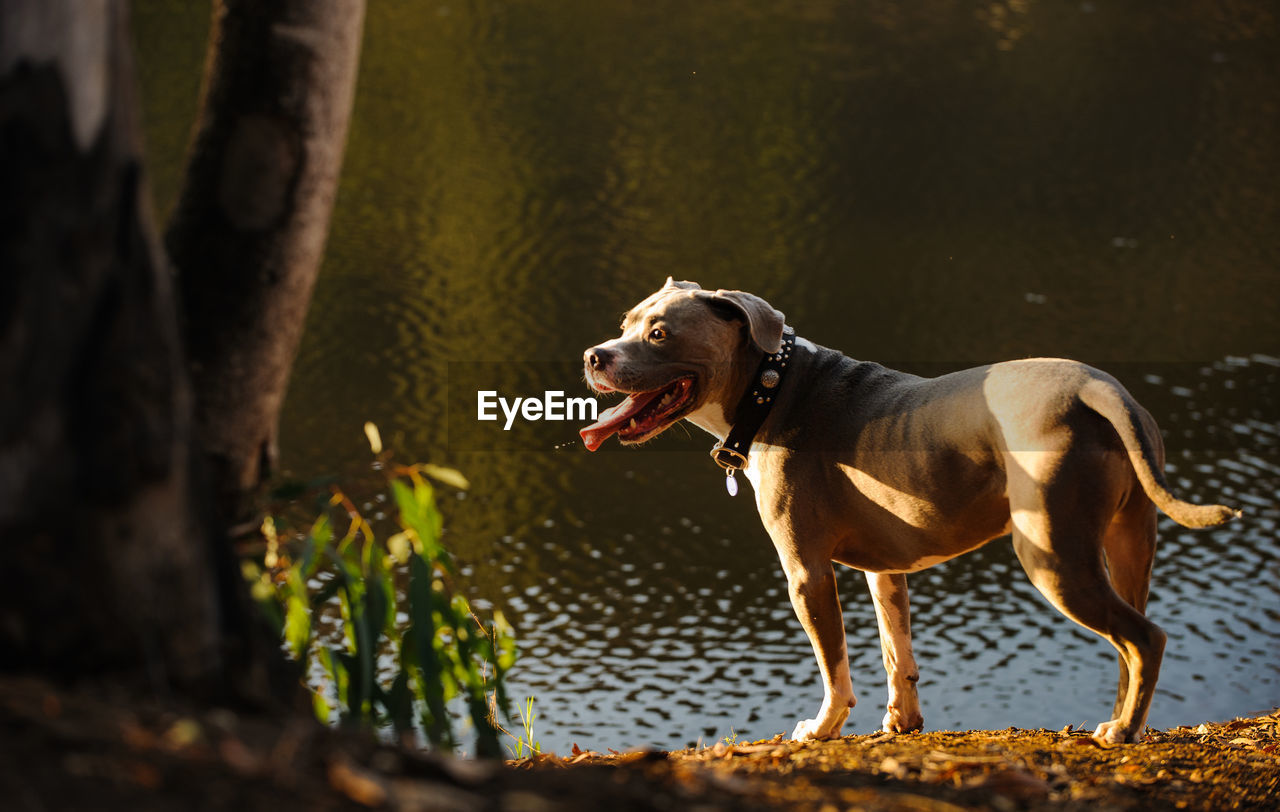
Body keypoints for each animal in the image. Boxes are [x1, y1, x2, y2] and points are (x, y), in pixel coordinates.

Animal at [583, 276, 1239, 737]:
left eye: (660, 333)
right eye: (626, 323)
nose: (594, 355)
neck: (771, 389)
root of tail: (1098, 387)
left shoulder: (806, 573)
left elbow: (836, 667)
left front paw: (821, 729)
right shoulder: (885, 568)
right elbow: (896, 653)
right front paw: (901, 723)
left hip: (1053, 556)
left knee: (1145, 639)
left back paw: (1122, 733)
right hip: (1129, 543)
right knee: (1131, 644)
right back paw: (1123, 722)